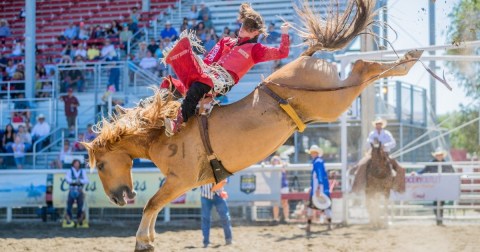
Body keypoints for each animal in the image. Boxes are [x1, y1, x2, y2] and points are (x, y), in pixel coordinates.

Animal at [85, 0, 420, 251]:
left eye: (100, 165)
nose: (117, 198)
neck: (159, 134)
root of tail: (305, 57)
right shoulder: (182, 183)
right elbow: (154, 205)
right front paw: (149, 239)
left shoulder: (181, 180)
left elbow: (150, 204)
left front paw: (143, 240)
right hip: (334, 96)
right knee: (364, 69)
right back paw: (409, 59)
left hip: (333, 100)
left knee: (363, 67)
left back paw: (408, 60)